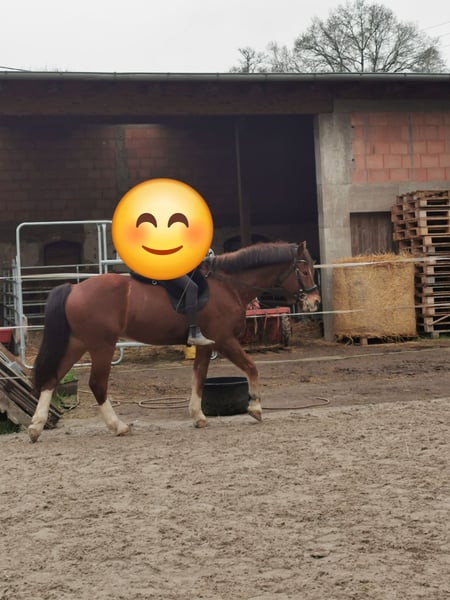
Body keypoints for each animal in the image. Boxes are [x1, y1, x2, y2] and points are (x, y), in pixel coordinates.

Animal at [28, 241, 321, 442]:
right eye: (304, 270)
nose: (315, 301)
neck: (228, 285)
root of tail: (74, 288)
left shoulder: (208, 344)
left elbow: (199, 377)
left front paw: (198, 416)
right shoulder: (224, 340)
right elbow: (251, 367)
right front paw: (256, 407)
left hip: (78, 343)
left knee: (52, 379)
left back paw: (36, 427)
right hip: (102, 345)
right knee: (97, 384)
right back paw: (118, 426)